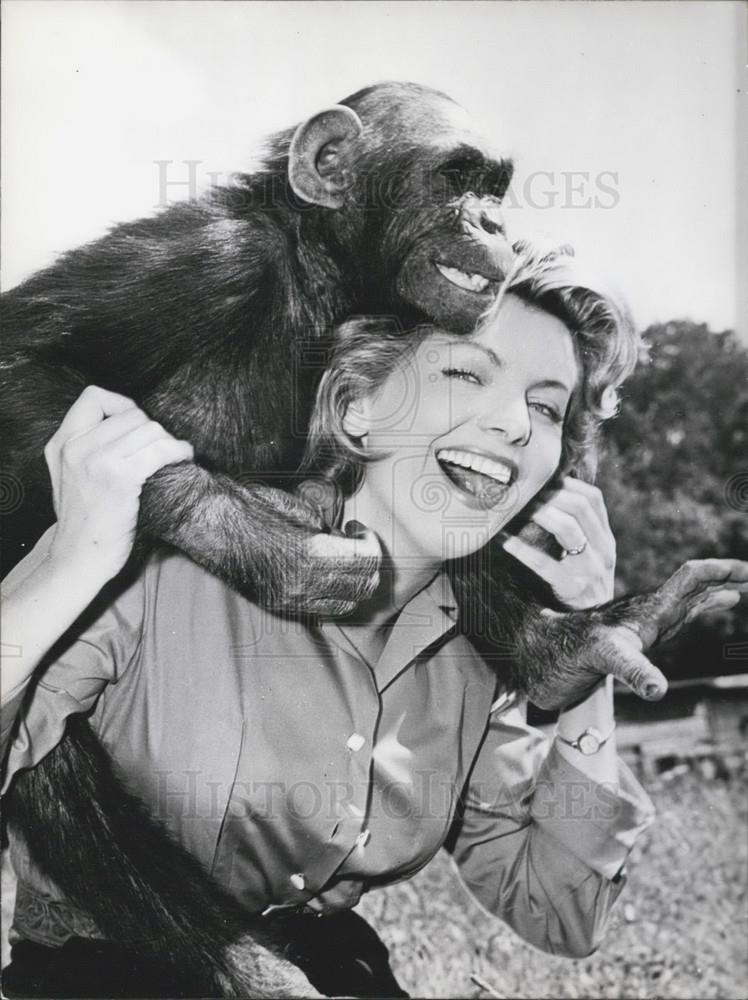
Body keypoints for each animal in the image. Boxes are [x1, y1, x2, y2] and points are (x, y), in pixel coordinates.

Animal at [1, 82, 748, 996]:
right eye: (457, 176)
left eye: (496, 186)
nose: (496, 223)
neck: (319, 267)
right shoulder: (201, 262)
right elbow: (30, 360)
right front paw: (289, 555)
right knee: (53, 760)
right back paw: (251, 964)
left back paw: (566, 650)